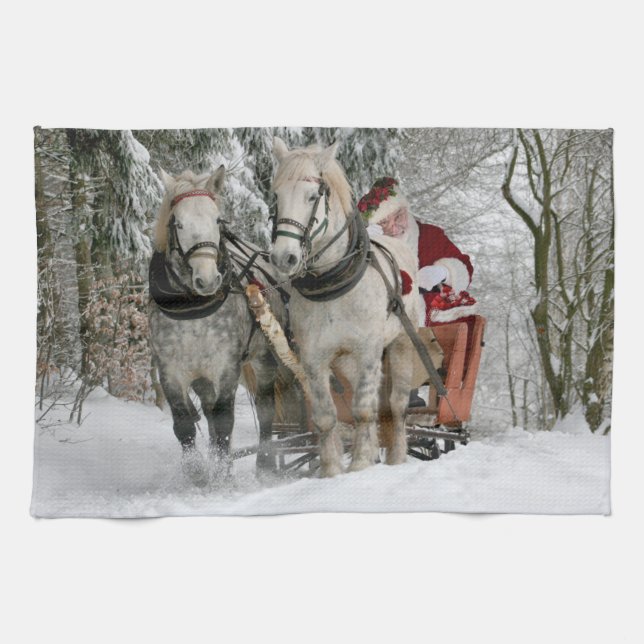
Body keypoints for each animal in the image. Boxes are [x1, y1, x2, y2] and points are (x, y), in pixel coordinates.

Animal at [148, 166, 284, 486]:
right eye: (179, 223)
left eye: (218, 220)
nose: (208, 279)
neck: (192, 309)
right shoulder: (170, 371)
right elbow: (184, 423)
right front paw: (197, 472)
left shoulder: (226, 366)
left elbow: (224, 420)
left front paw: (222, 477)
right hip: (202, 376)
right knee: (208, 412)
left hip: (264, 357)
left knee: (265, 406)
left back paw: (265, 463)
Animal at [269, 138, 420, 477]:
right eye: (276, 196)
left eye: (312, 196)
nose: (283, 258)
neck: (331, 285)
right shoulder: (314, 358)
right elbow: (326, 416)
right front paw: (331, 469)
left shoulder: (368, 351)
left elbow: (364, 409)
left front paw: (361, 462)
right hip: (347, 361)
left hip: (402, 344)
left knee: (397, 404)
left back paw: (396, 457)